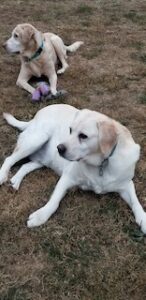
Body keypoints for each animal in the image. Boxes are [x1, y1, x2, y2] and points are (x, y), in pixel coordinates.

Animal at [0, 103, 146, 232]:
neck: (101, 163)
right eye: (70, 130)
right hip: (37, 139)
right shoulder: (67, 177)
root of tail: (35, 117)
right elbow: (54, 201)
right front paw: (41, 215)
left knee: (25, 166)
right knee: (9, 159)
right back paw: (2, 175)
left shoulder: (126, 184)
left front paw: (143, 220)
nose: (59, 148)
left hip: (44, 160)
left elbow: (136, 202)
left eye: (83, 136)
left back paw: (15, 181)